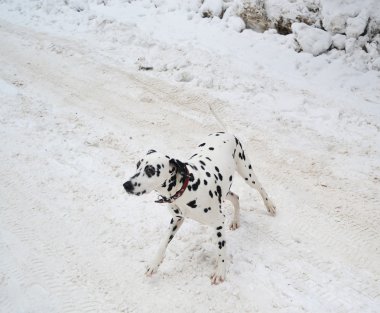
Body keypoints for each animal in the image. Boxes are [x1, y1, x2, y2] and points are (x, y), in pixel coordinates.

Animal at [123, 132, 274, 282]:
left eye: (150, 170)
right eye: (137, 165)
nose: (126, 185)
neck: (186, 188)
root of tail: (227, 133)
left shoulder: (218, 222)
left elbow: (221, 249)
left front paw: (220, 272)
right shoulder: (176, 219)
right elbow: (163, 243)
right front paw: (154, 264)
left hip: (247, 173)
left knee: (260, 188)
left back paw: (270, 206)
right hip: (224, 191)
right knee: (236, 197)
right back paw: (236, 220)